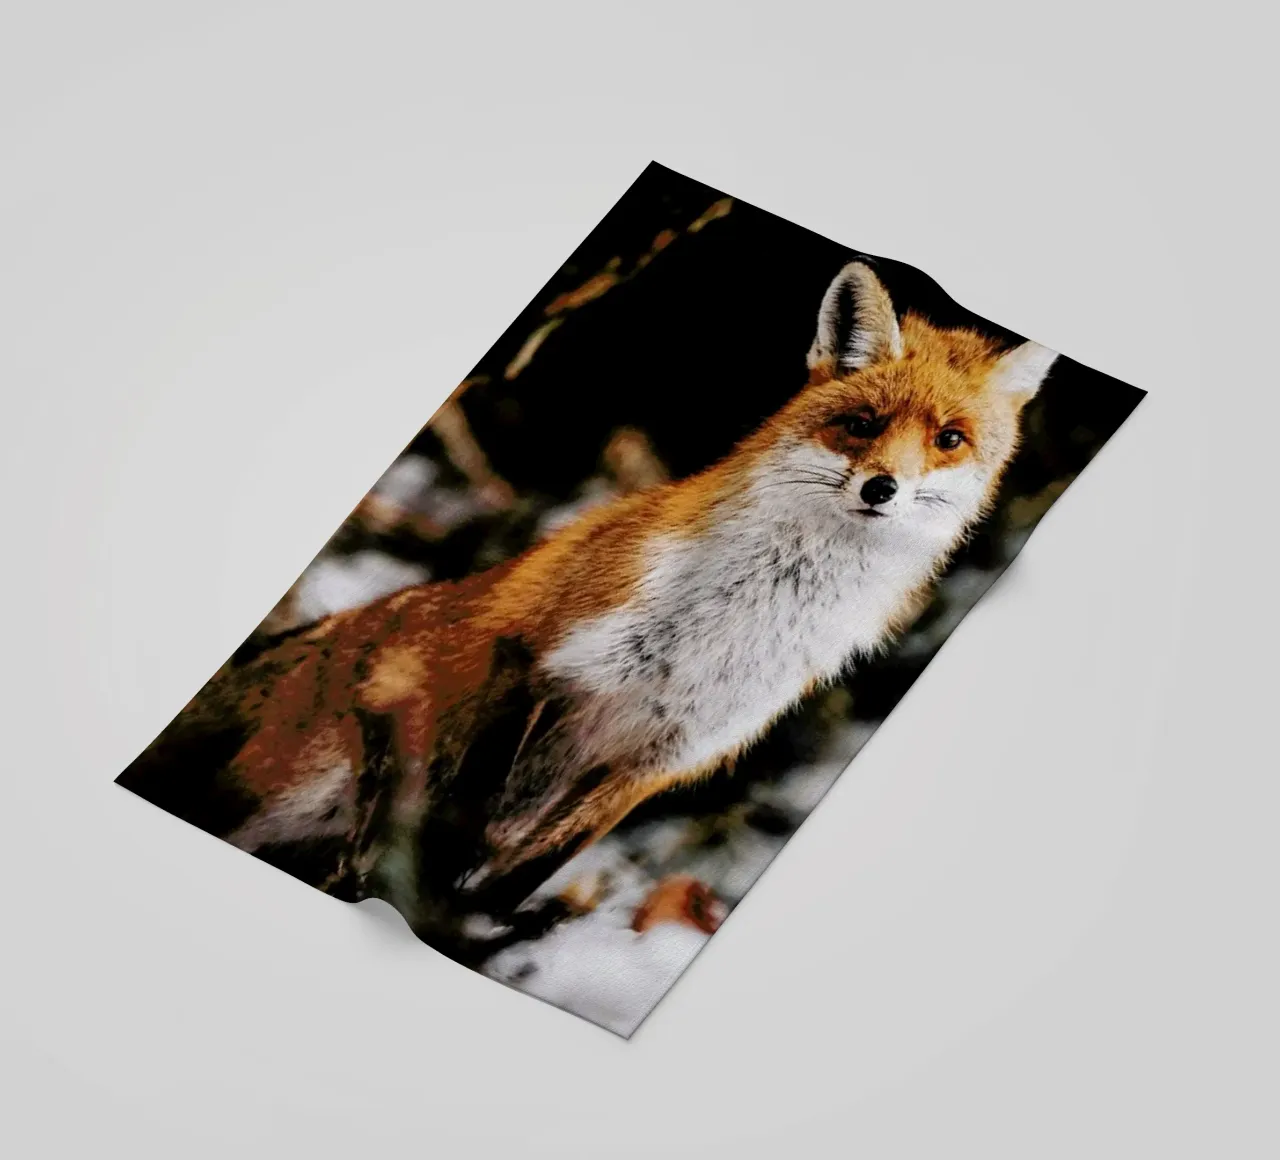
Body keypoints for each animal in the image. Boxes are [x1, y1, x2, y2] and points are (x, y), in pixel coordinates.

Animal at [118, 261, 1057, 947]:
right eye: (860, 425)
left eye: (949, 440)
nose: (881, 489)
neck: (737, 620)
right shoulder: (533, 656)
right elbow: (456, 828)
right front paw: (430, 919)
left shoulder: (662, 757)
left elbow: (522, 875)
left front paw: (471, 928)